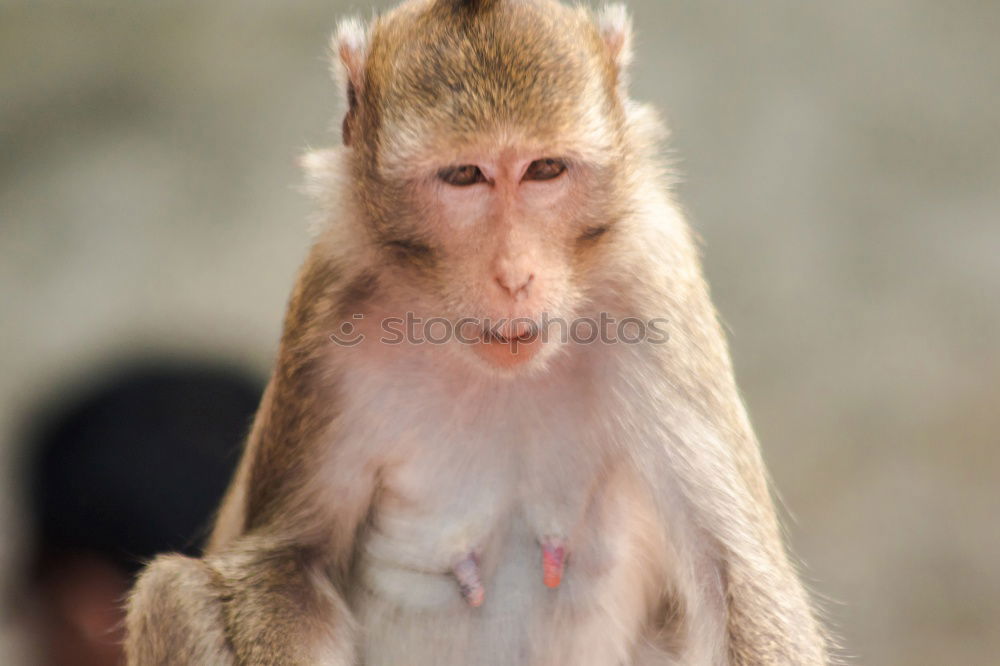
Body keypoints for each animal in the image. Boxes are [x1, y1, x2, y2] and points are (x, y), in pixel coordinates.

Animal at [123, 0, 828, 660]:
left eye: (544, 170)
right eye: (465, 176)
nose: (514, 276)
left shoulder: (656, 286)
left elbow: (735, 576)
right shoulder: (326, 318)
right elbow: (287, 562)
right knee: (172, 591)